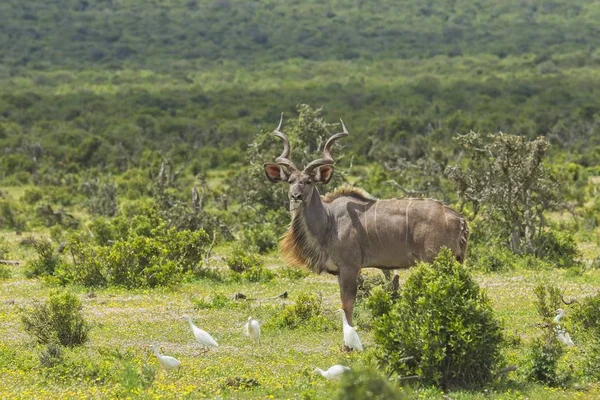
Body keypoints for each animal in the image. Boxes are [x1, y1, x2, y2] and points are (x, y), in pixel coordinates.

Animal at [264, 115, 468, 324]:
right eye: (290, 181)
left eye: (308, 181)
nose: (295, 196)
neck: (329, 221)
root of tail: (459, 219)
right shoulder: (340, 271)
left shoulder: (350, 267)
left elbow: (347, 306)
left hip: (435, 260)